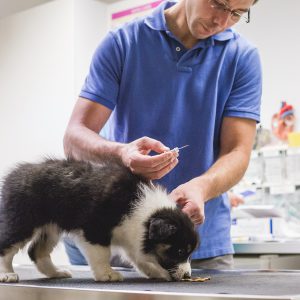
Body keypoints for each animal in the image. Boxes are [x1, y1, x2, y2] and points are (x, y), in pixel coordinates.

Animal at [0, 158, 199, 282]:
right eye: (180, 251)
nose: (187, 276)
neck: (143, 211)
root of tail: (13, 176)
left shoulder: (132, 235)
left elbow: (139, 258)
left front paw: (156, 272)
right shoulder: (95, 227)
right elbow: (102, 253)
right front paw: (107, 274)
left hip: (51, 227)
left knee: (36, 251)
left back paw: (56, 272)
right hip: (23, 219)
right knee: (6, 245)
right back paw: (6, 274)